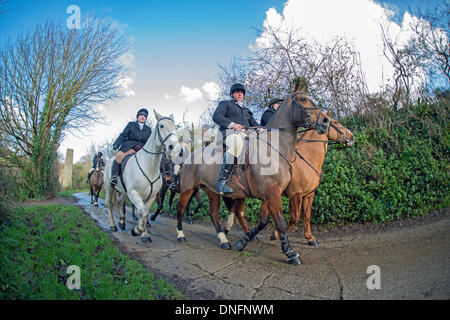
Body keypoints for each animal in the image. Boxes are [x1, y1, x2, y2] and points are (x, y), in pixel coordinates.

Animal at [103, 110, 183, 242]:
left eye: (174, 127)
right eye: (161, 126)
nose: (174, 148)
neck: (149, 166)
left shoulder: (151, 196)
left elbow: (145, 212)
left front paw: (144, 234)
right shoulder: (134, 193)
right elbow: (143, 213)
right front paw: (137, 230)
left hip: (124, 191)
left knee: (120, 202)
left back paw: (122, 222)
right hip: (110, 187)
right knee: (110, 205)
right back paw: (113, 225)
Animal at [174, 86, 328, 266]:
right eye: (303, 99)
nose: (325, 121)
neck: (274, 148)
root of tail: (190, 156)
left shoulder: (272, 193)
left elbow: (264, 221)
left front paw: (243, 241)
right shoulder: (273, 192)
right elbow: (280, 223)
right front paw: (290, 253)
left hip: (212, 192)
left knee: (213, 214)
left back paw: (223, 240)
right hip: (188, 189)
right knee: (180, 209)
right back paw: (181, 235)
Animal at [225, 114, 356, 245]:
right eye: (335, 122)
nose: (352, 137)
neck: (307, 158)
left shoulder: (309, 194)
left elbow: (307, 215)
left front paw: (310, 238)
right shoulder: (296, 194)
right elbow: (295, 218)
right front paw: (275, 234)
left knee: (237, 212)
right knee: (238, 212)